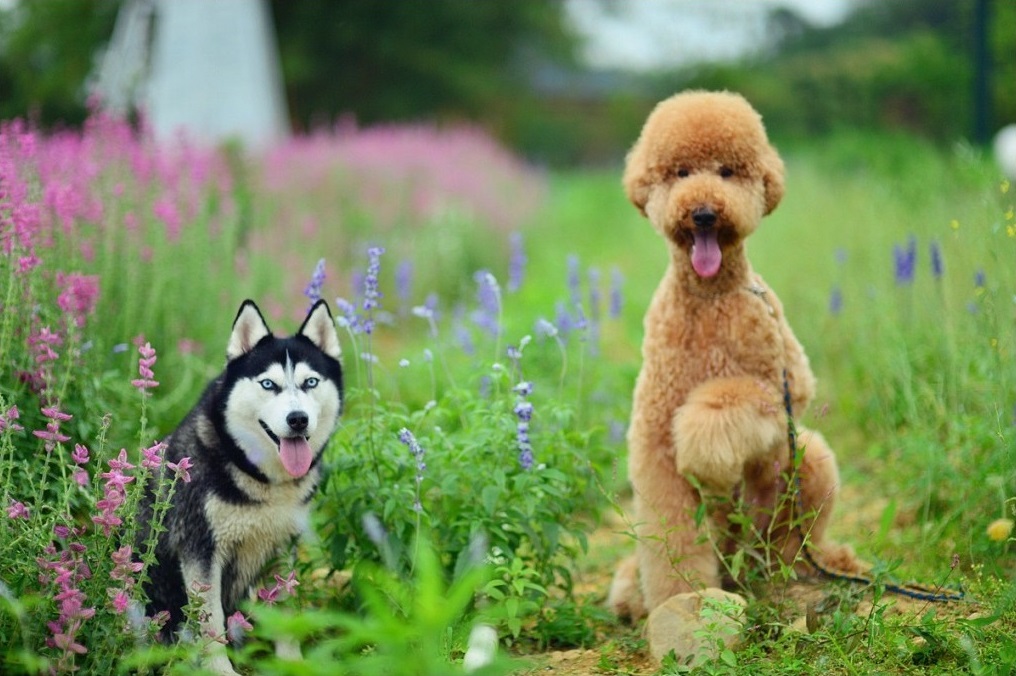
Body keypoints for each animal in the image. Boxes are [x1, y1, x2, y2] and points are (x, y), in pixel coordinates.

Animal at [142, 298, 345, 670]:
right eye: (268, 385)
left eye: (310, 382)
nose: (298, 419)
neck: (263, 480)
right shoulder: (200, 551)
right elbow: (210, 624)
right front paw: (220, 671)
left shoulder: (283, 547)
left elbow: (286, 610)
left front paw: (291, 663)